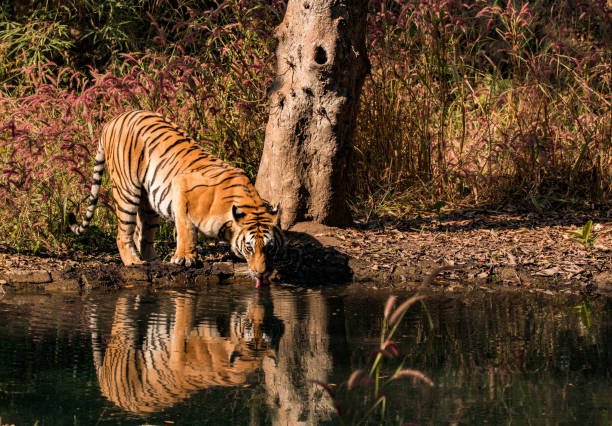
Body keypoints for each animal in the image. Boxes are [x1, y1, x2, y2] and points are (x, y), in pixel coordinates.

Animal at [70, 110, 286, 286]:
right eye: (249, 248)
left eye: (269, 248)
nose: (261, 273)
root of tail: (113, 120)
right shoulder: (181, 187)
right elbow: (186, 230)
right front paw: (185, 258)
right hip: (127, 190)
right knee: (123, 233)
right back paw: (133, 262)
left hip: (148, 204)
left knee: (143, 235)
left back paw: (154, 261)